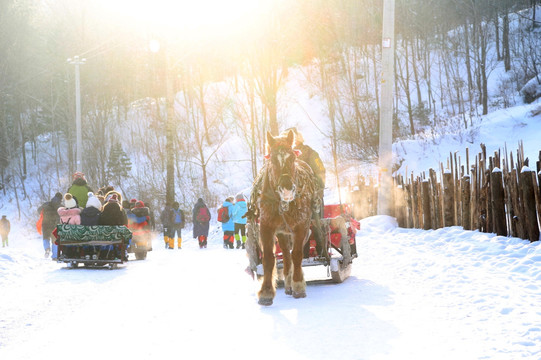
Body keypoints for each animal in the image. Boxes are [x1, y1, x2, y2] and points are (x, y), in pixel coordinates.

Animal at [250, 129, 318, 304]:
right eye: (273, 160)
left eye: (292, 158)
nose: (287, 189)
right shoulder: (266, 226)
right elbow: (269, 258)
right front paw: (266, 292)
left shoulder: (301, 226)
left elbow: (298, 254)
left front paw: (298, 285)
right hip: (282, 232)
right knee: (286, 254)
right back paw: (287, 282)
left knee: (293, 253)